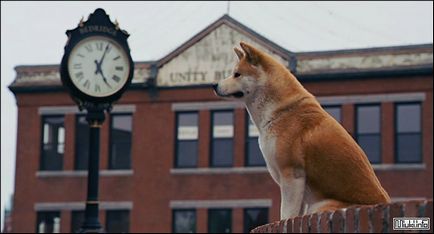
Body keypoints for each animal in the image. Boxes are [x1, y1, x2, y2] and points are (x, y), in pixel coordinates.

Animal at [212, 41, 392, 219]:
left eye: (237, 74)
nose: (214, 85)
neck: (280, 111)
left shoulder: (292, 176)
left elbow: (286, 215)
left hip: (319, 205)